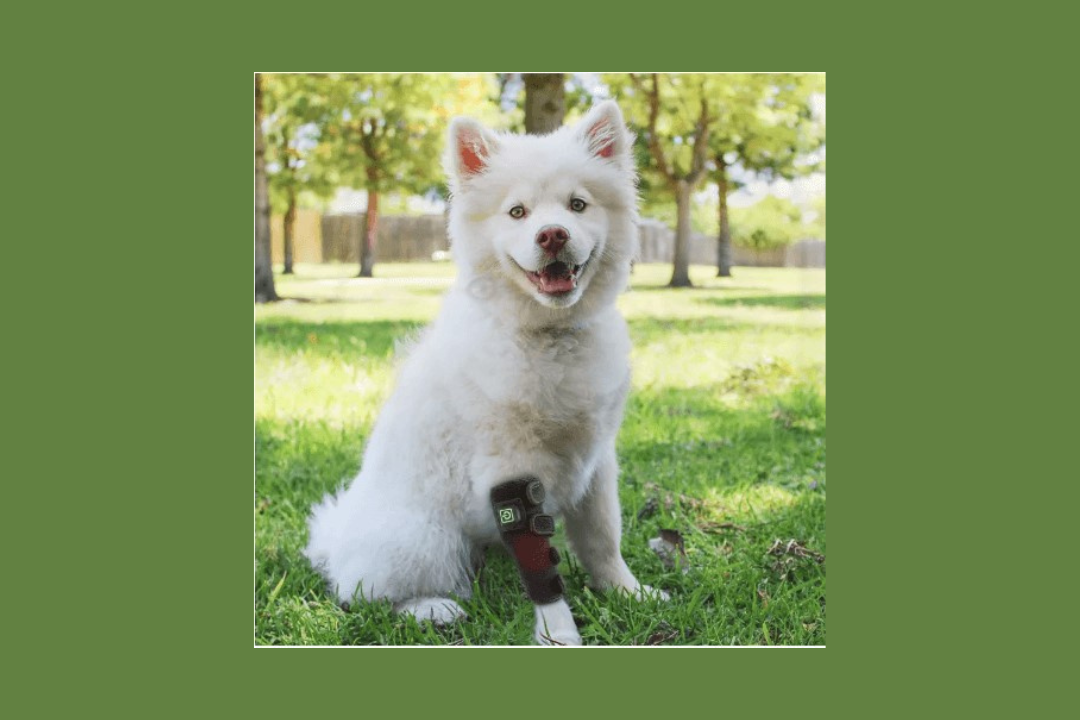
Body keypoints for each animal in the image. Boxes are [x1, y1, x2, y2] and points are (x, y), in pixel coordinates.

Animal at [304, 101, 656, 647]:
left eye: (577, 205)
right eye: (518, 212)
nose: (552, 234)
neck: (549, 337)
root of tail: (334, 541)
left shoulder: (597, 463)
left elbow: (603, 539)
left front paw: (628, 594)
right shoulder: (511, 470)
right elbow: (542, 571)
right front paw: (558, 632)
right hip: (426, 540)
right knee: (365, 594)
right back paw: (432, 609)